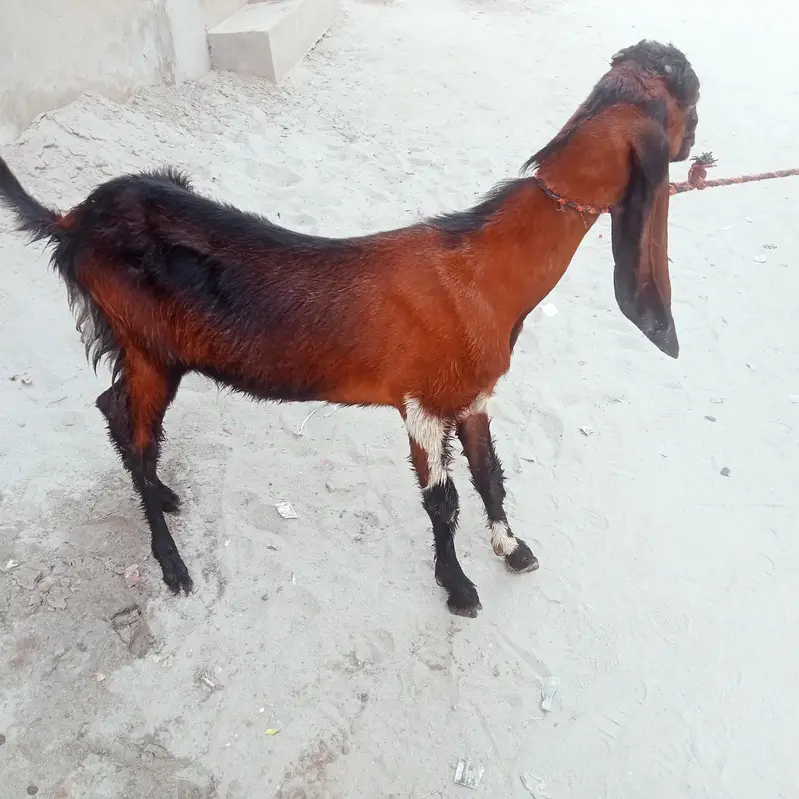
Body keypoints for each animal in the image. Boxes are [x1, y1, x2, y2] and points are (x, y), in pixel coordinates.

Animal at [0, 39, 700, 617]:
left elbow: (489, 473)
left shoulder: (472, 396)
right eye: (686, 106)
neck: (482, 269)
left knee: (114, 410)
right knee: (132, 424)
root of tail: (72, 222)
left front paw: (512, 548)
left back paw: (165, 496)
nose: (696, 147)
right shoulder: (421, 403)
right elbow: (443, 501)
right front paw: (458, 588)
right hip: (150, 348)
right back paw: (172, 562)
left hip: (146, 345)